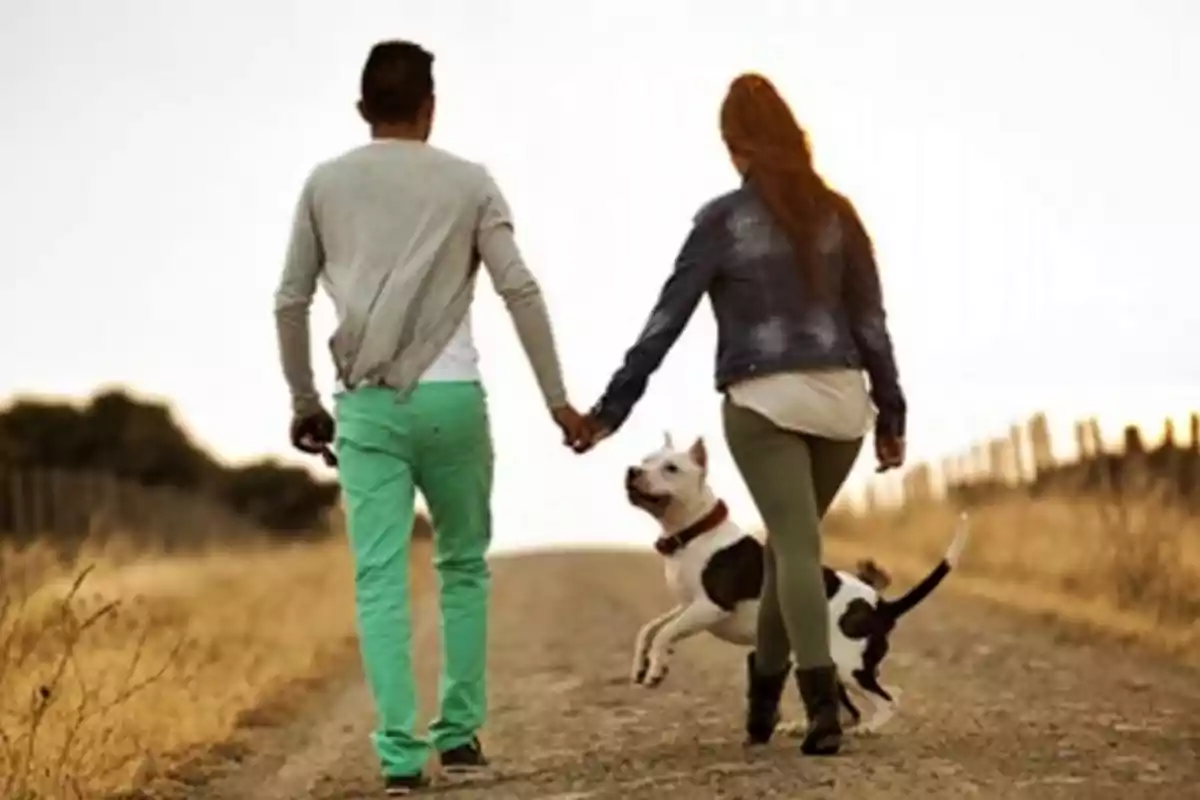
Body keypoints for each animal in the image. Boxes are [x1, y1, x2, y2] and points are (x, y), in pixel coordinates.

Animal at [624, 434, 969, 734]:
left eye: (671, 468)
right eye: (646, 460)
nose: (632, 471)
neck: (695, 531)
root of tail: (880, 606)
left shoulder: (711, 606)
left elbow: (665, 632)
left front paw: (655, 670)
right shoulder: (686, 605)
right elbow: (650, 629)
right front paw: (644, 663)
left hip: (850, 666)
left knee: (889, 698)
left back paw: (868, 729)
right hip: (831, 663)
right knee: (848, 710)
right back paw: (806, 727)